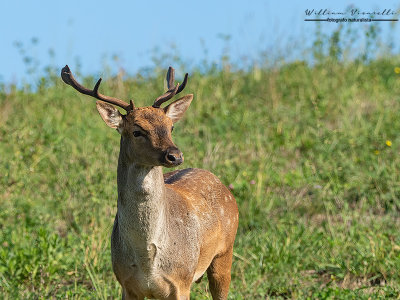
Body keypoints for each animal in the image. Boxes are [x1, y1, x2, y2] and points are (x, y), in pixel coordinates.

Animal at [61, 64, 239, 298]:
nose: (175, 155)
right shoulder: (126, 283)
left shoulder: (181, 281)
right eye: (137, 131)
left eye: (171, 127)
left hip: (225, 252)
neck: (146, 258)